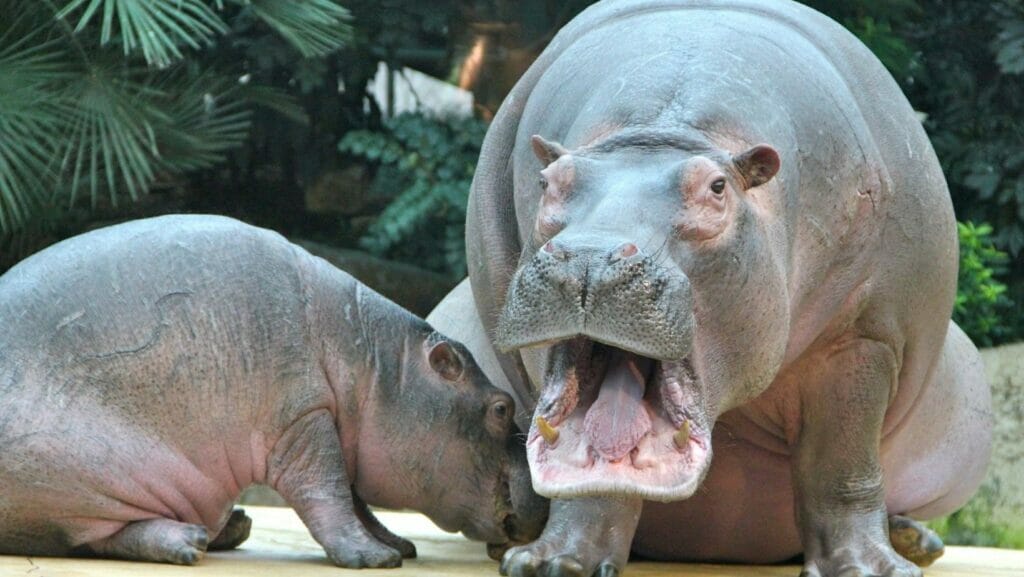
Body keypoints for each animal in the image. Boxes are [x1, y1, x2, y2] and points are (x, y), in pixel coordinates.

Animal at [0, 215, 545, 567]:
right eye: (501, 408)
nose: (543, 495)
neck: (377, 366)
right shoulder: (303, 420)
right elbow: (328, 491)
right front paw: (372, 558)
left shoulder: (337, 425)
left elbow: (356, 499)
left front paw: (396, 546)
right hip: (85, 466)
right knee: (91, 536)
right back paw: (189, 541)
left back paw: (229, 528)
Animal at [427, 1, 993, 576]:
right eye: (549, 182)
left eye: (717, 188)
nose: (590, 257)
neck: (661, 129)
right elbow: (590, 480)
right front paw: (552, 562)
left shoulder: (865, 337)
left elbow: (840, 463)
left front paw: (866, 569)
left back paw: (916, 543)